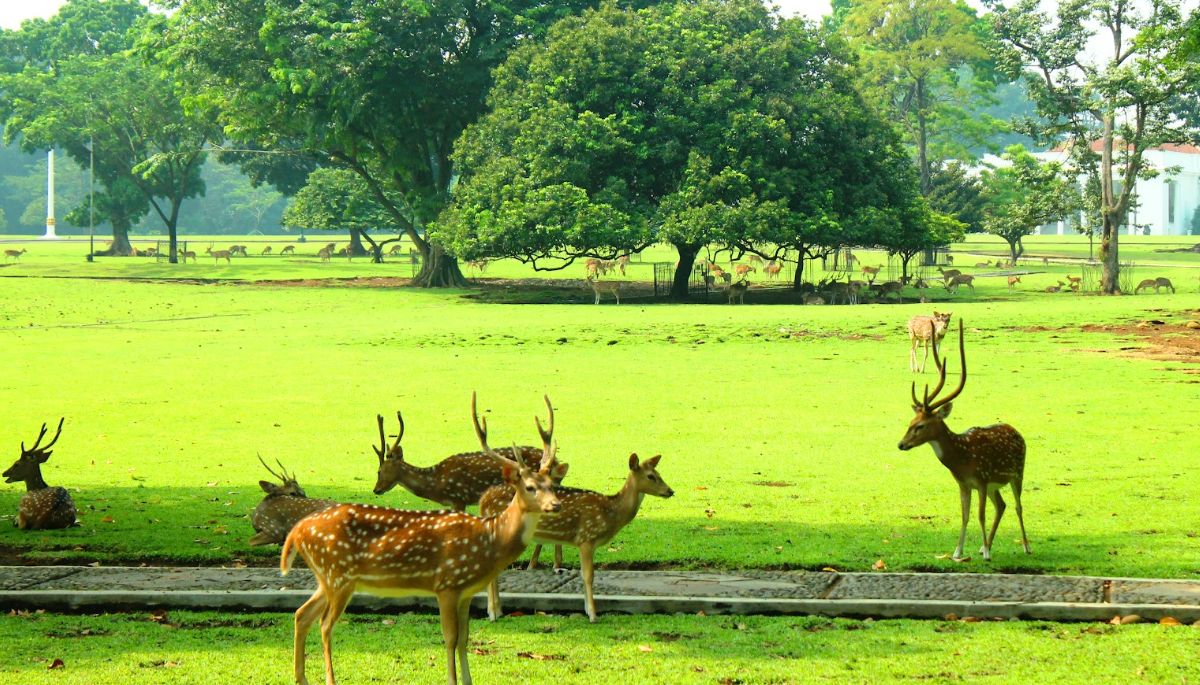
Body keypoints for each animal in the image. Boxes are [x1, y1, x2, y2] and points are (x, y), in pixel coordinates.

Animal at [480, 453, 676, 623]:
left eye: (659, 473)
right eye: (651, 476)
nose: (670, 491)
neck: (611, 512)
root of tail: (483, 500)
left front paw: (588, 610)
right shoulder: (586, 538)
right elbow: (589, 576)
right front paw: (593, 615)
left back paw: (498, 611)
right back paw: (493, 613)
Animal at [902, 321, 1032, 563]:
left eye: (920, 425)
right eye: (910, 421)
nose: (901, 444)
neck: (961, 458)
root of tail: (1016, 431)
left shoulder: (980, 480)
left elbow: (980, 515)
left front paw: (987, 554)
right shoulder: (964, 483)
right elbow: (964, 515)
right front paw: (958, 552)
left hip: (1017, 473)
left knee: (1018, 505)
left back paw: (1026, 547)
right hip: (995, 484)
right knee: (1002, 505)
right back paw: (983, 546)